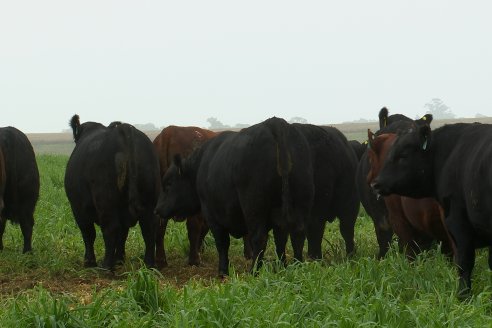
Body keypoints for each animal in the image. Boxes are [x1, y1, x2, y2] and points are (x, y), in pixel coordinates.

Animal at [65, 114, 160, 270]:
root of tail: (123, 128)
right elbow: (123, 234)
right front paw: (119, 259)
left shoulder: (78, 207)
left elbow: (88, 233)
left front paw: (89, 262)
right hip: (149, 200)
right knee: (149, 227)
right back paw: (148, 264)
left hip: (105, 200)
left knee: (111, 229)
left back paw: (106, 266)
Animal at [156, 116, 314, 276]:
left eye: (168, 184)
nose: (157, 209)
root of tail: (274, 123)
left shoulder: (213, 216)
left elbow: (222, 242)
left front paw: (223, 271)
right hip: (299, 203)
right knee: (295, 234)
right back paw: (295, 267)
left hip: (253, 207)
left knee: (260, 238)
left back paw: (252, 271)